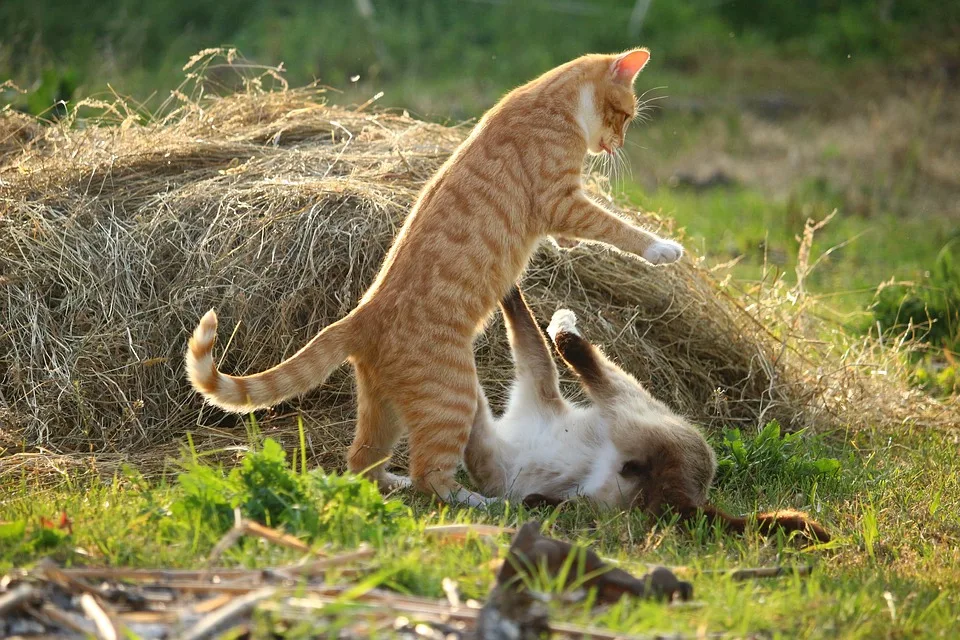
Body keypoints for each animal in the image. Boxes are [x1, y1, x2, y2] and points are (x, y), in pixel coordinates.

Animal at [466, 288, 832, 544]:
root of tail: (687, 499)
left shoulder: (537, 383)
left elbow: (525, 327)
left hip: (624, 402)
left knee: (576, 351)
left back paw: (563, 320)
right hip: (598, 499)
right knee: (555, 503)